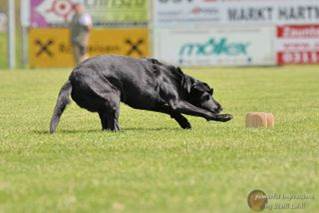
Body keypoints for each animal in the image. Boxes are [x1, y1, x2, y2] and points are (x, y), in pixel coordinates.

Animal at [50, 56, 232, 133]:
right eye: (207, 95)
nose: (219, 106)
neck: (178, 80)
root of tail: (71, 79)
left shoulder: (157, 103)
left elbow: (173, 112)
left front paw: (185, 123)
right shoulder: (177, 101)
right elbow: (201, 111)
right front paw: (223, 117)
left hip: (104, 102)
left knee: (106, 123)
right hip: (112, 95)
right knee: (113, 122)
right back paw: (120, 132)